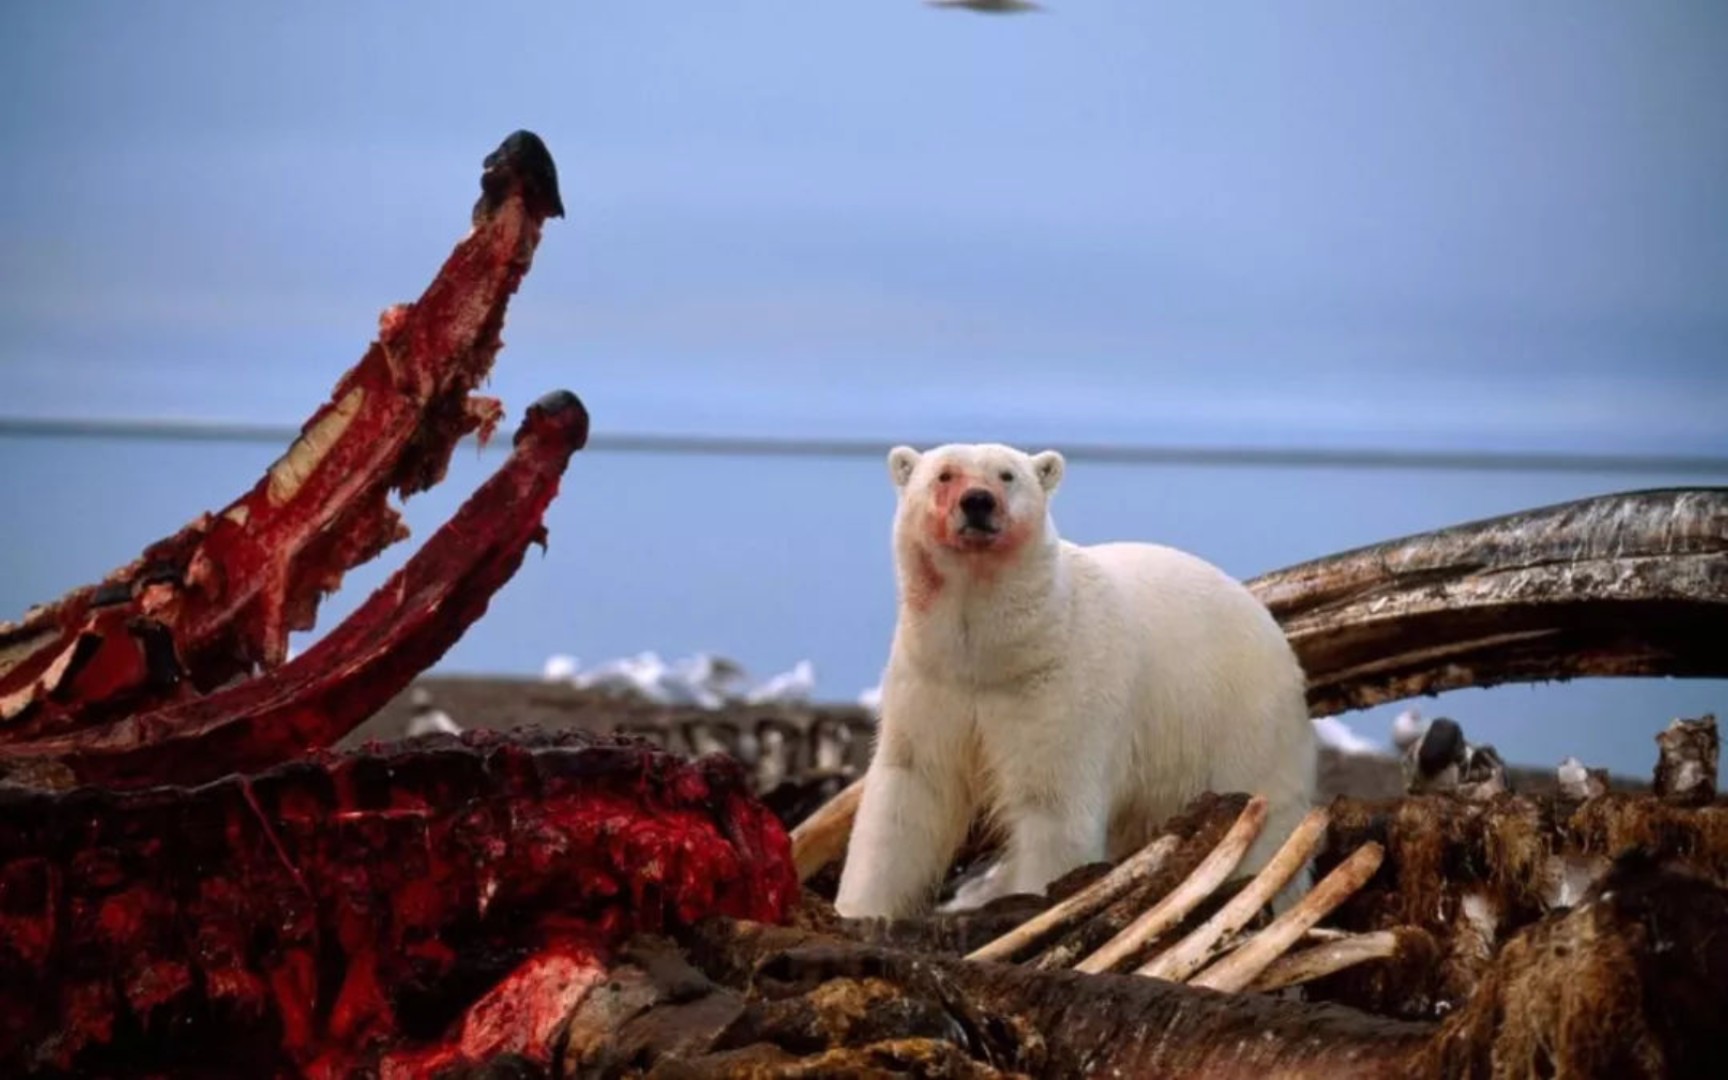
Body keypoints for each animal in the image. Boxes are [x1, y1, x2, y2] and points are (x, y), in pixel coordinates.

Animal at [832, 438, 1306, 919]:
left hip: (1245, 724)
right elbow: (909, 791)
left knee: (1265, 816)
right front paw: (858, 908)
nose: (978, 501)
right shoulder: (932, 680)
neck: (994, 653)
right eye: (944, 474)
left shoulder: (1057, 685)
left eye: (1007, 475)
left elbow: (1052, 805)